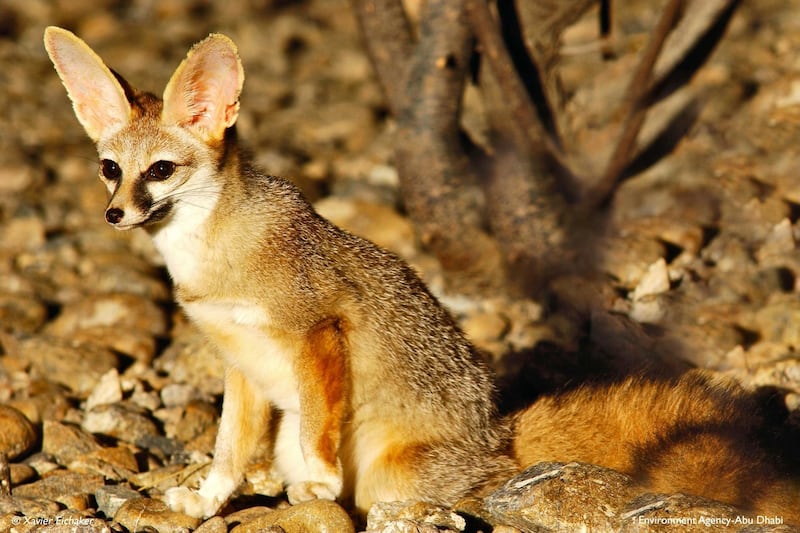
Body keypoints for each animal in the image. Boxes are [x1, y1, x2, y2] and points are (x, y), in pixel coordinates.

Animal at [45, 26, 800, 524]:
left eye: (160, 171)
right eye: (111, 169)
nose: (115, 213)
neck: (215, 254)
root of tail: (497, 438)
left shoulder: (318, 329)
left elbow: (318, 431)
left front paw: (319, 488)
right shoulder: (239, 362)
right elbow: (228, 450)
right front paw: (205, 501)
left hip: (392, 477)